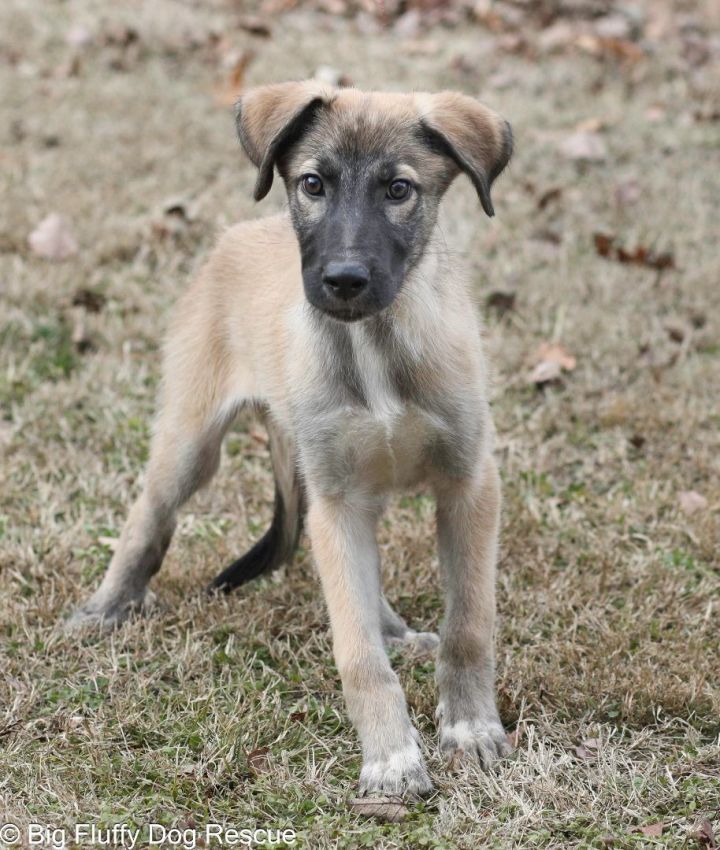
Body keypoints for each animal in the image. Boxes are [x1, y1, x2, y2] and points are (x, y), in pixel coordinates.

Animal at [70, 81, 516, 796]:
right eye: (312, 183)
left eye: (399, 189)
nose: (343, 280)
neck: (374, 346)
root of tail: (241, 232)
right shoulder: (336, 499)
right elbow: (356, 653)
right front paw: (391, 759)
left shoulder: (468, 483)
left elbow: (469, 626)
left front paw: (470, 728)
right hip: (193, 441)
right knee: (149, 515)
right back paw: (107, 609)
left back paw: (396, 631)